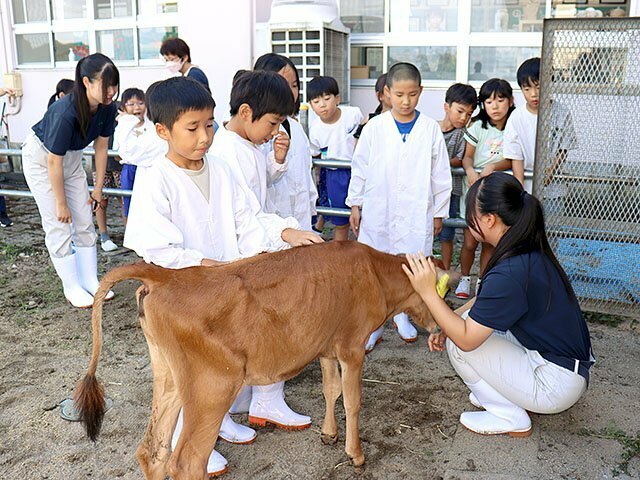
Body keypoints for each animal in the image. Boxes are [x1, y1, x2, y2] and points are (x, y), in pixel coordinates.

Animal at [75, 242, 456, 478]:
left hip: (168, 377)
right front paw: (356, 454)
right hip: (212, 386)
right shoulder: (352, 347)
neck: (375, 273)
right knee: (186, 463)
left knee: (153, 451)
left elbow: (330, 390)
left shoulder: (326, 347)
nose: (441, 327)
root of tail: (169, 274)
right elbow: (352, 400)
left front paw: (328, 435)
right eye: (444, 291)